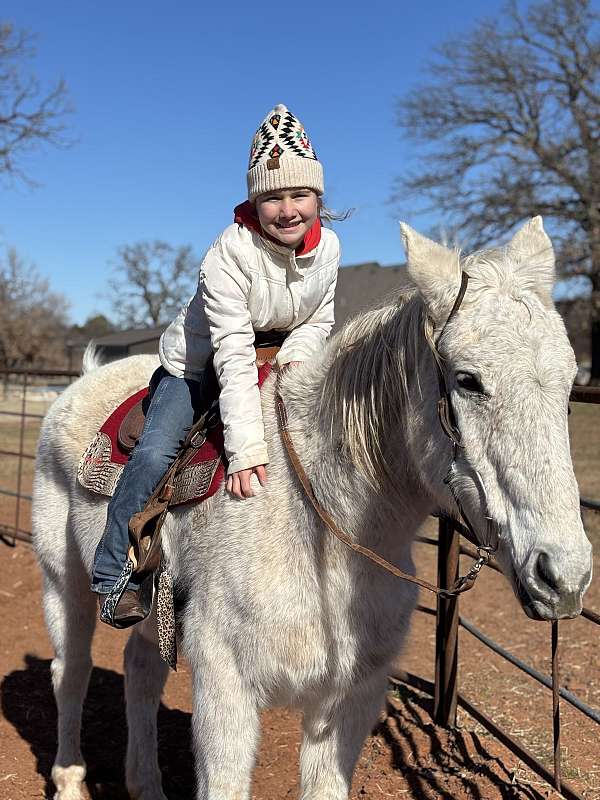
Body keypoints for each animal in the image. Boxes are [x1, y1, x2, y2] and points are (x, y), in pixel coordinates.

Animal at [31, 218, 592, 800]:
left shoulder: (349, 701)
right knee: (70, 672)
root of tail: (83, 380)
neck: (319, 520)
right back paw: (69, 779)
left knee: (141, 673)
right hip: (62, 581)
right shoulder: (224, 691)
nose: (564, 578)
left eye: (569, 383)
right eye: (467, 379)